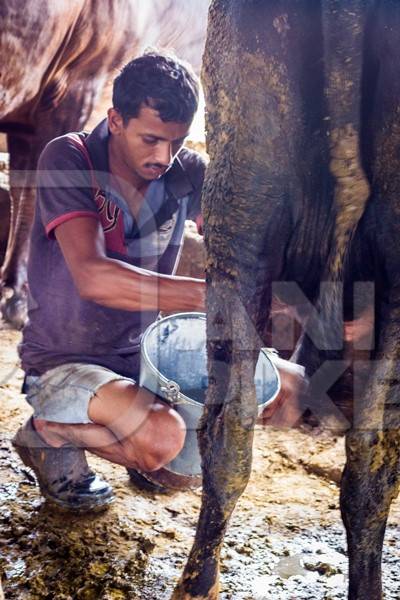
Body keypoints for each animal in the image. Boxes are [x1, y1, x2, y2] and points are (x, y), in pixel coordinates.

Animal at [1, 0, 209, 328]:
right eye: (149, 138)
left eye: (178, 141)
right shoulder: (77, 85)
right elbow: (33, 192)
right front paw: (19, 297)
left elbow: (19, 189)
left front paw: (10, 287)